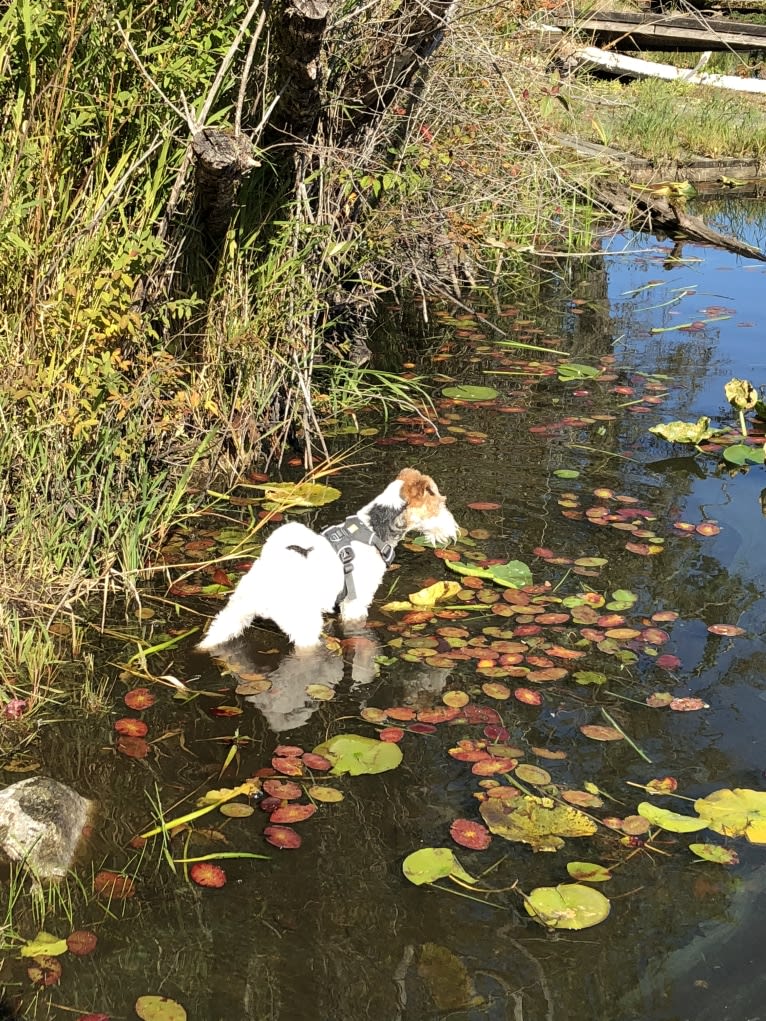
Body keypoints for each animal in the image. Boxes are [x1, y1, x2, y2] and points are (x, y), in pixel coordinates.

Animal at [198, 471, 459, 653]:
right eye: (440, 502)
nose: (455, 530)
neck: (372, 530)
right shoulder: (356, 603)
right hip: (305, 627)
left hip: (233, 614)